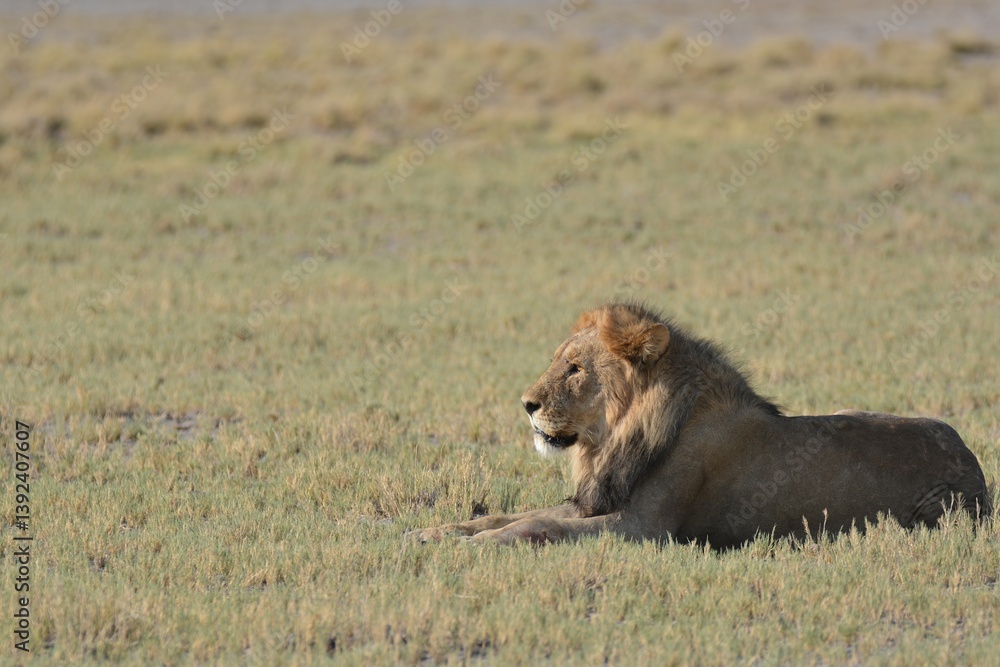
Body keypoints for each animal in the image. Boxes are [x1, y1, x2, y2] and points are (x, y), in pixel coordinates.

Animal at [410, 302, 990, 548]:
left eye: (574, 368)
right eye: (559, 361)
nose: (526, 404)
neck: (613, 440)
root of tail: (971, 458)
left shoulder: (642, 527)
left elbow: (538, 526)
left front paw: (469, 548)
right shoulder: (598, 501)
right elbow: (508, 515)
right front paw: (434, 532)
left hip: (935, 510)